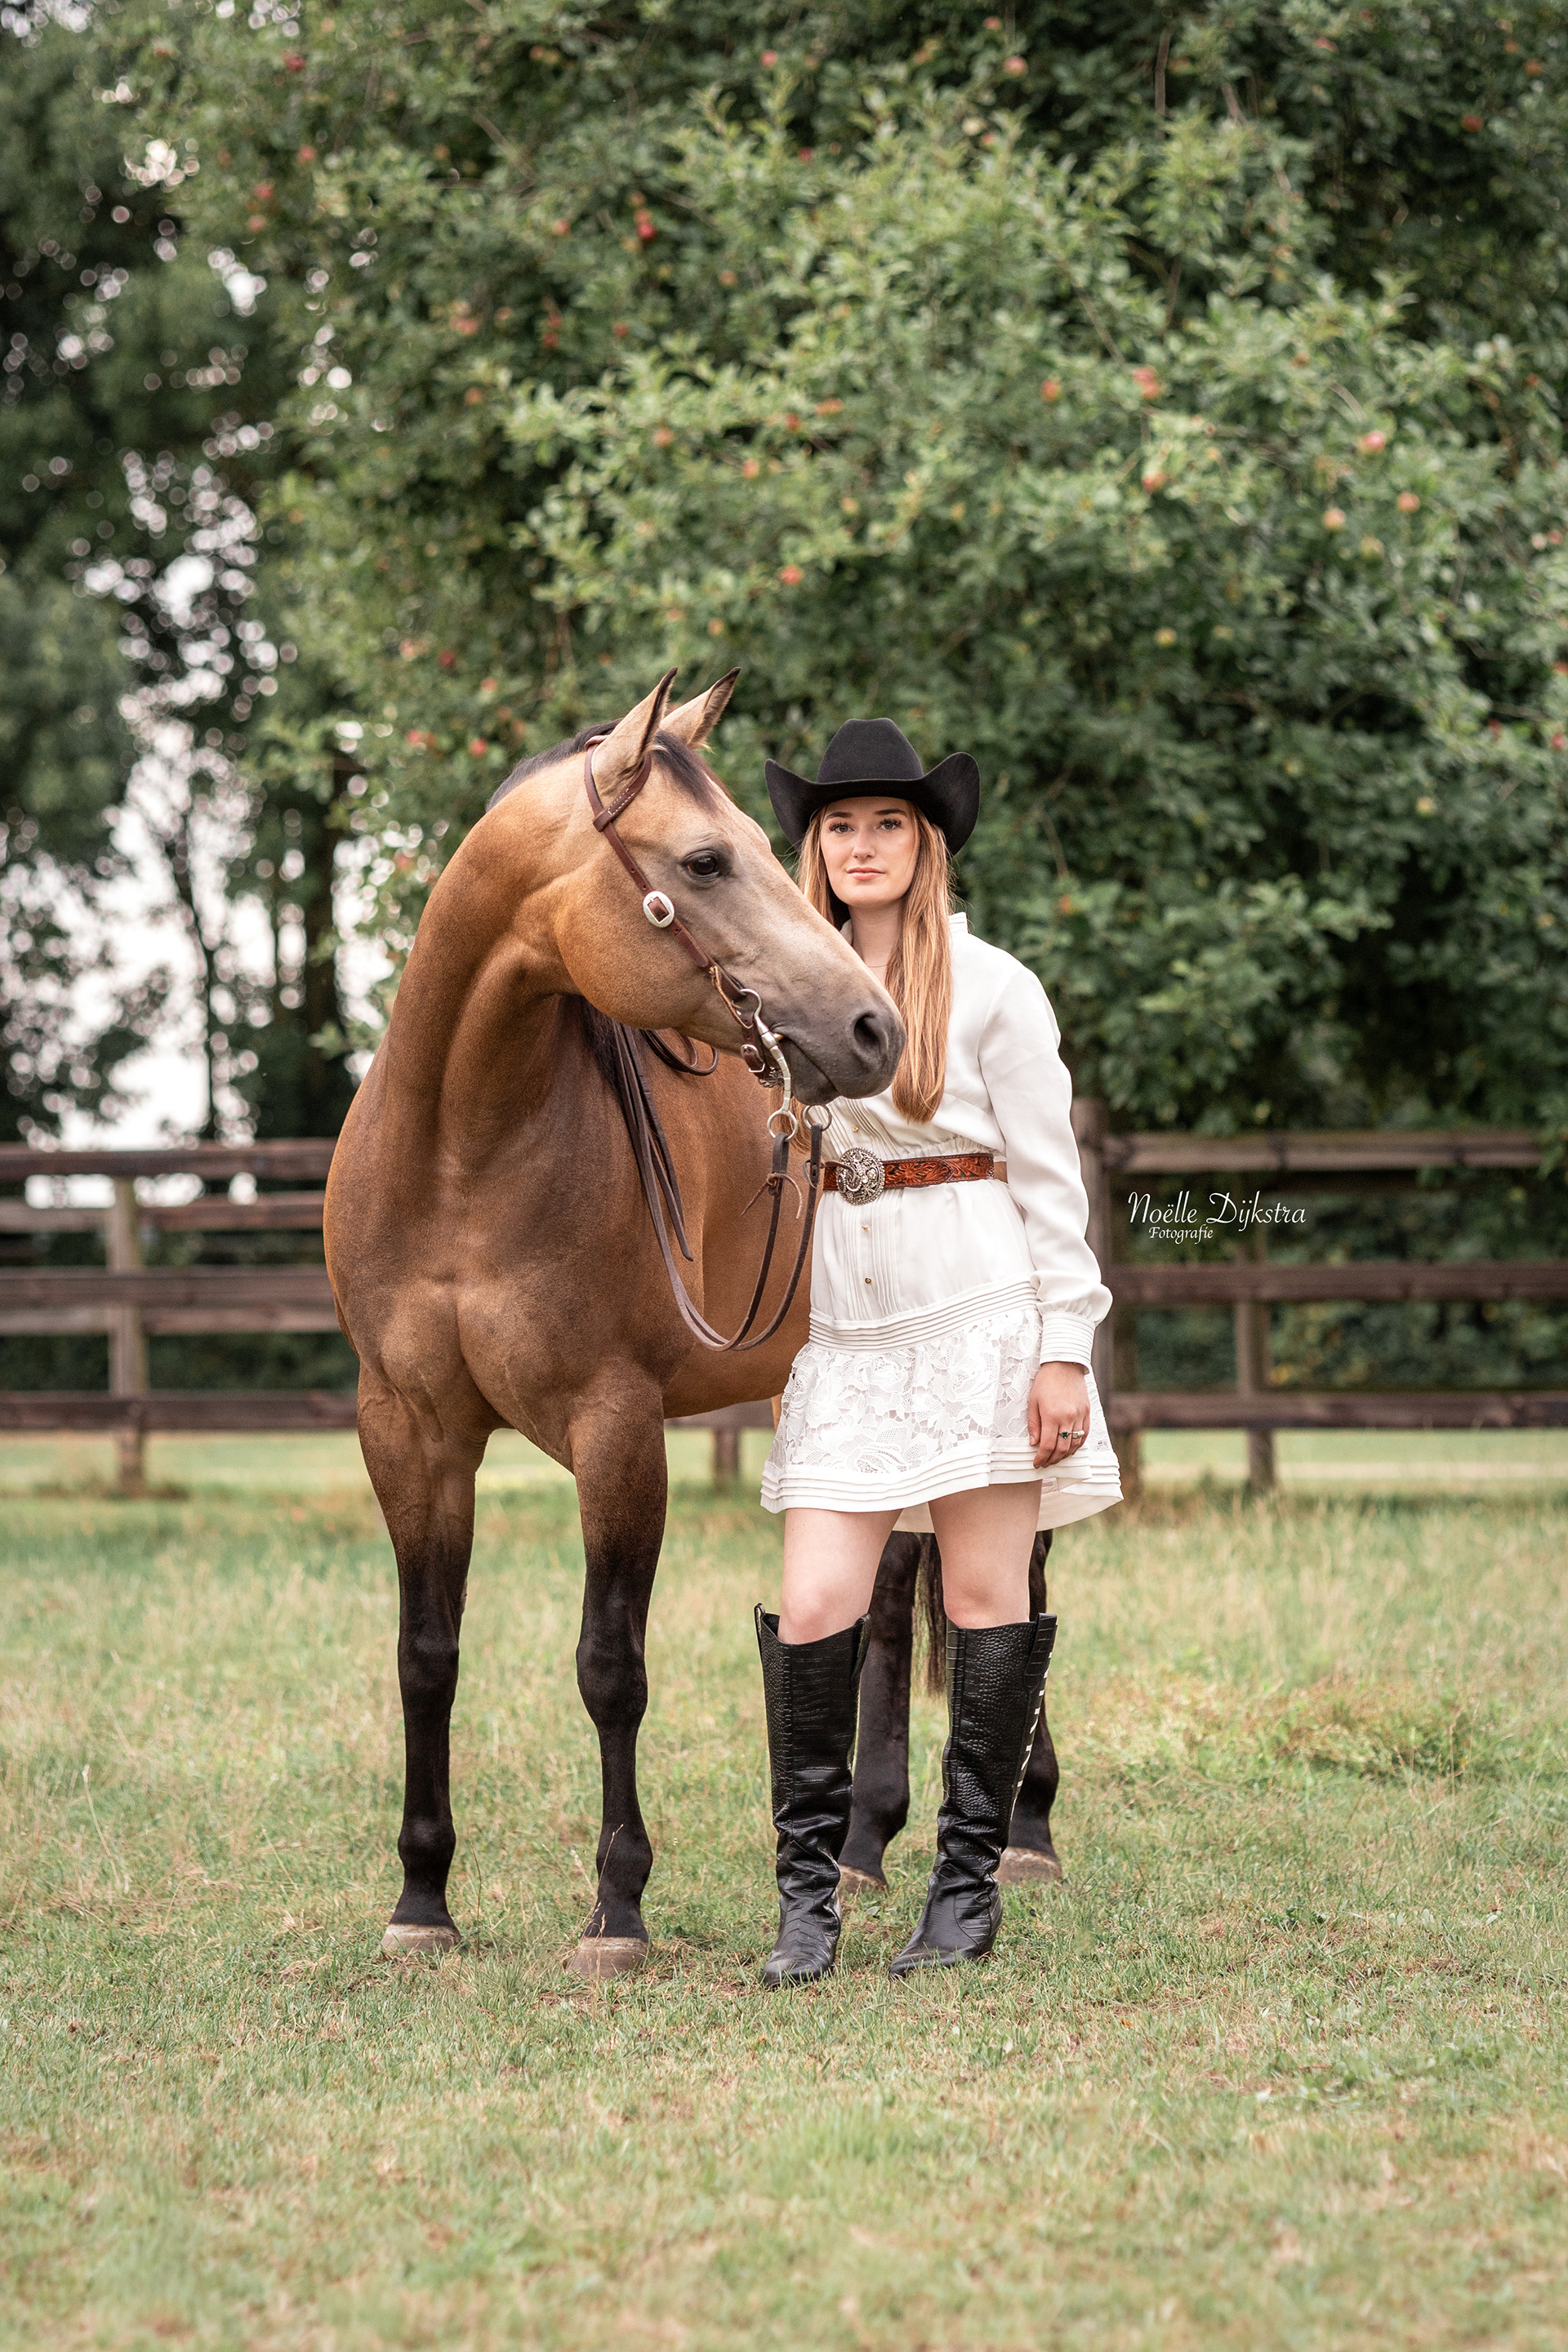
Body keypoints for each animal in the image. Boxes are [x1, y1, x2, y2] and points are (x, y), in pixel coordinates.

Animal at [323, 670, 904, 1978]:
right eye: (706, 861)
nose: (872, 1030)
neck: (463, 1152)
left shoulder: (618, 1429)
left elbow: (609, 1667)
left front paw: (619, 1910)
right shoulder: (409, 1430)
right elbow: (423, 1657)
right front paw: (421, 1899)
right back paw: (861, 1849)